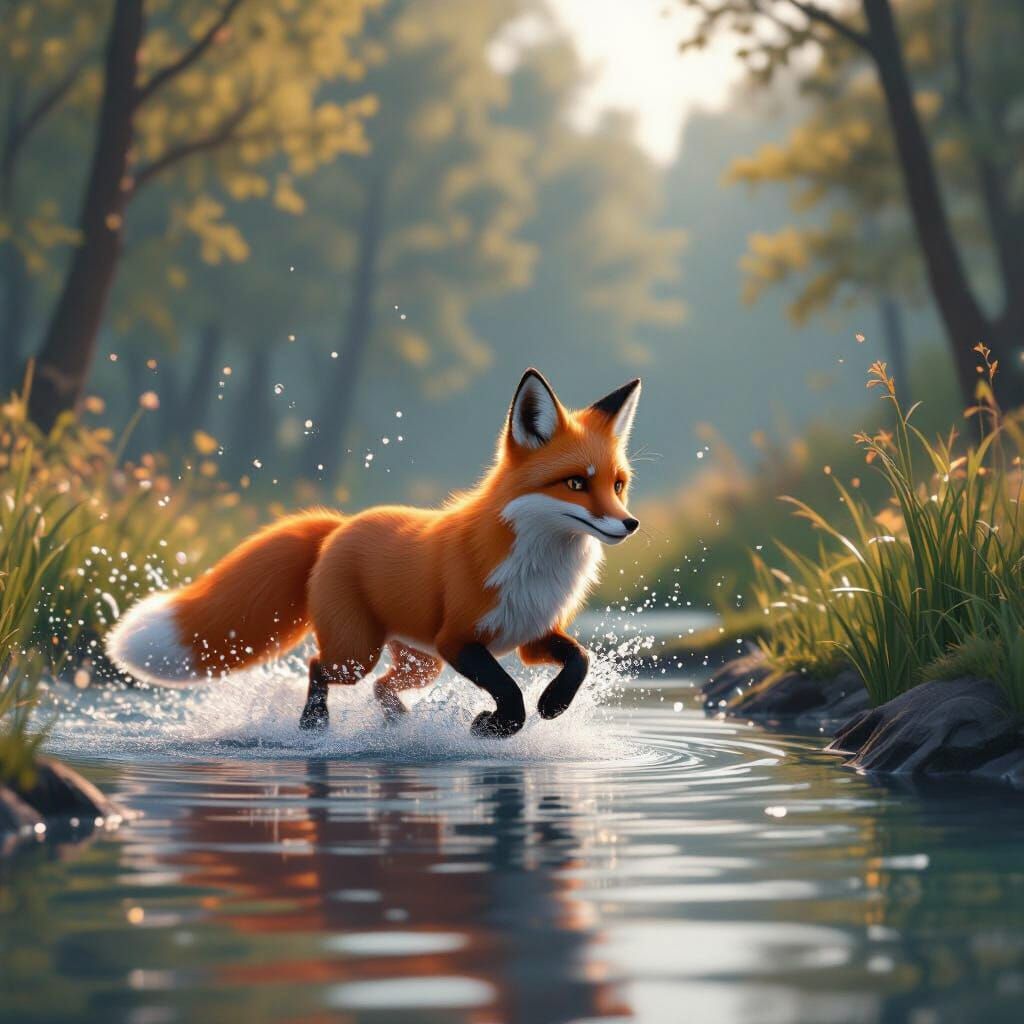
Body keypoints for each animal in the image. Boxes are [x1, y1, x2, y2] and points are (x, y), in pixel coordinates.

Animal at [107, 369, 642, 738]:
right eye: (575, 484)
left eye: (617, 485)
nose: (630, 524)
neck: (537, 564)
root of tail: (340, 524)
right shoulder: (458, 640)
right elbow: (509, 691)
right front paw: (495, 727)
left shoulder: (532, 634)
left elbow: (579, 659)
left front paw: (553, 704)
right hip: (359, 652)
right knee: (318, 666)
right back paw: (314, 727)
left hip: (420, 663)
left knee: (383, 686)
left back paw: (395, 724)